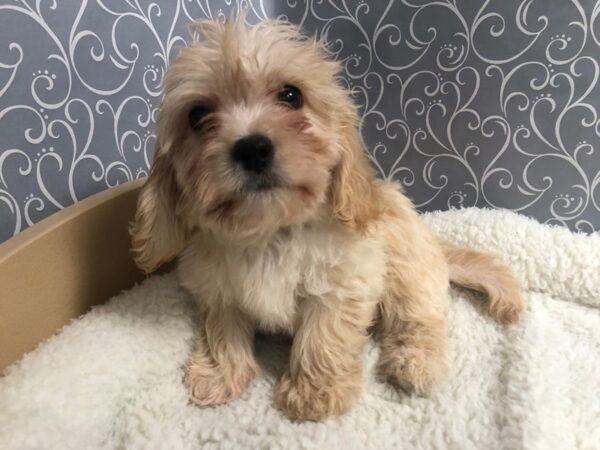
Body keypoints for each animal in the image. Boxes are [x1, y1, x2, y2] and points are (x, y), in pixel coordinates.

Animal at [130, 19, 520, 422]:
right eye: (197, 116)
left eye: (291, 95)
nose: (252, 148)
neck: (271, 231)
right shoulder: (218, 290)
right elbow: (222, 330)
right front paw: (220, 374)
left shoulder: (341, 284)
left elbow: (322, 336)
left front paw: (314, 393)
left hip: (407, 268)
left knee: (419, 318)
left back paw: (415, 362)